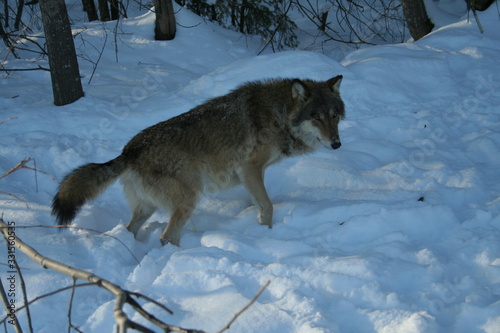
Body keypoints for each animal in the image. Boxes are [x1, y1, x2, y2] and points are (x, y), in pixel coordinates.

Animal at [52, 76, 346, 245]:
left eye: (334, 116)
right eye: (316, 117)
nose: (337, 144)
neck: (279, 114)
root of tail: (128, 152)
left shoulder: (251, 176)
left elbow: (260, 204)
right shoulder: (250, 168)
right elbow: (268, 206)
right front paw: (267, 234)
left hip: (147, 208)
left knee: (130, 230)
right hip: (188, 200)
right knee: (166, 237)